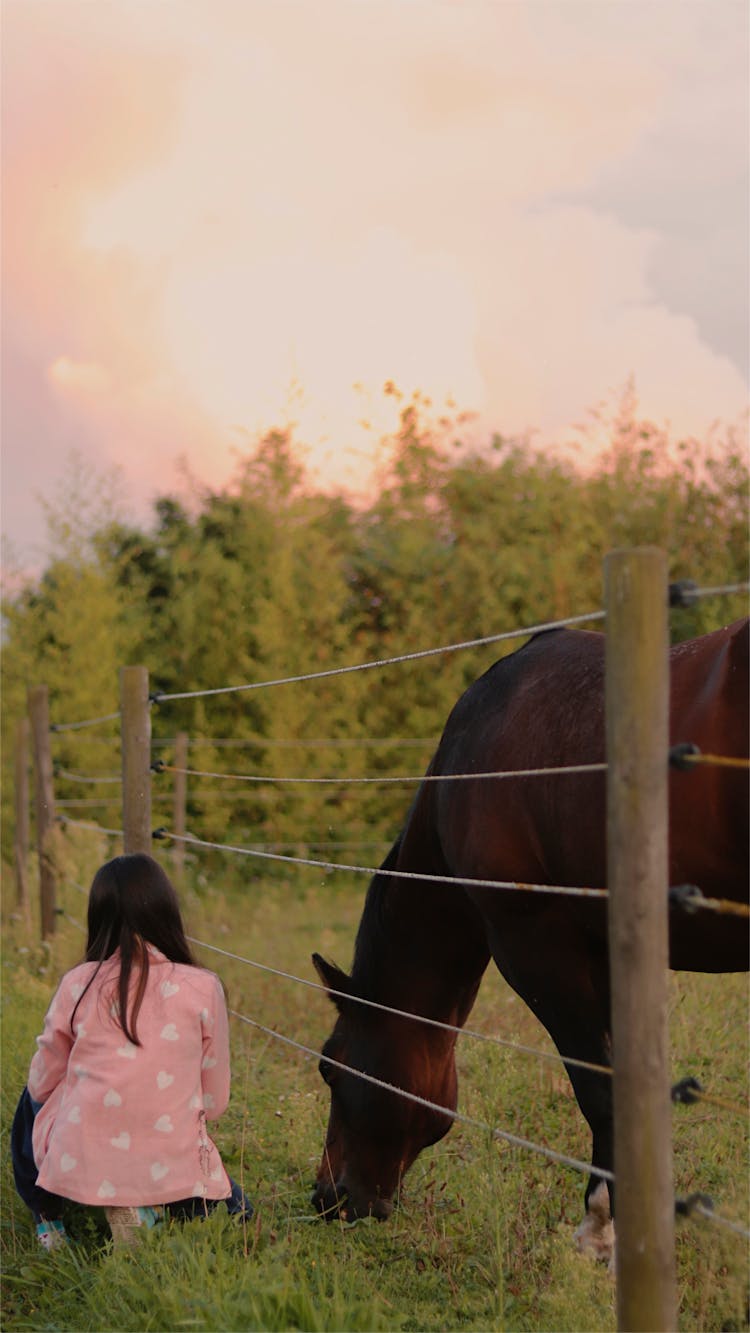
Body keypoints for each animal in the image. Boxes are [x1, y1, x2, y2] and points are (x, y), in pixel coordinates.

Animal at [313, 615, 750, 1258]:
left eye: (330, 1065)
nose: (327, 1196)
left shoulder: (536, 948)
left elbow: (598, 1090)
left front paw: (603, 1229)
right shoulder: (604, 955)